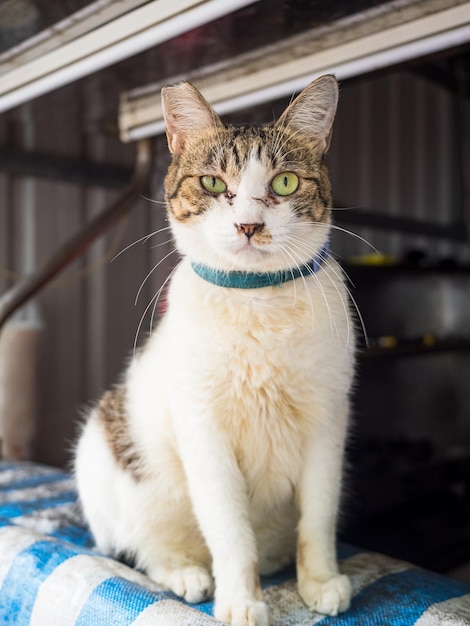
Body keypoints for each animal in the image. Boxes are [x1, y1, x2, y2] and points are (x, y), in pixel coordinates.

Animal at [74, 74, 352, 624]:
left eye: (284, 183)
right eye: (212, 184)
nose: (249, 225)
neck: (259, 303)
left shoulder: (328, 422)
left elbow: (318, 516)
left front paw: (318, 580)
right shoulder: (204, 432)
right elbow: (229, 530)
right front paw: (241, 600)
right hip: (101, 448)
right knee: (142, 548)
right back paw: (186, 573)